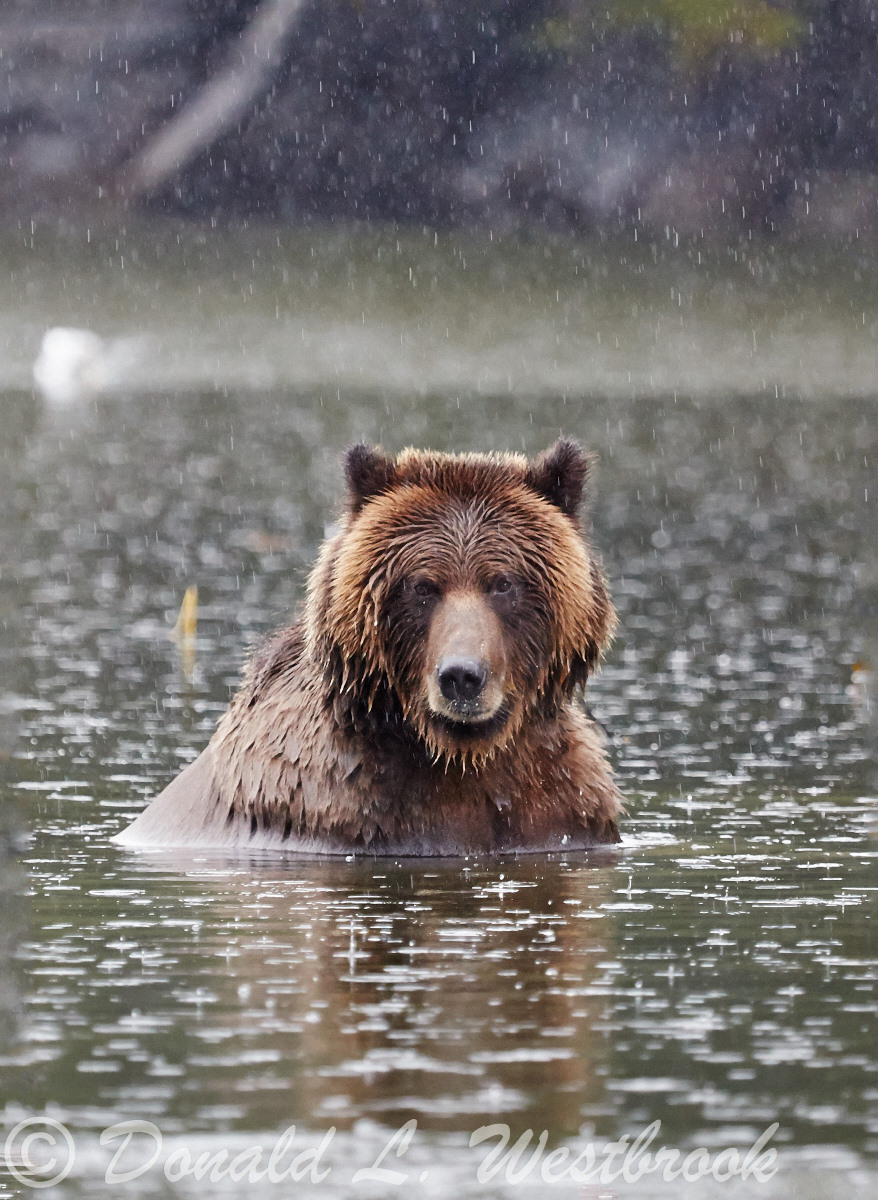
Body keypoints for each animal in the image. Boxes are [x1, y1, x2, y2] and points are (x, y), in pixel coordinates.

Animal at [114, 438, 622, 855]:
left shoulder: (561, 809)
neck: (461, 757)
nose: (462, 675)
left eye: (502, 583)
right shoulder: (338, 811)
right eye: (422, 586)